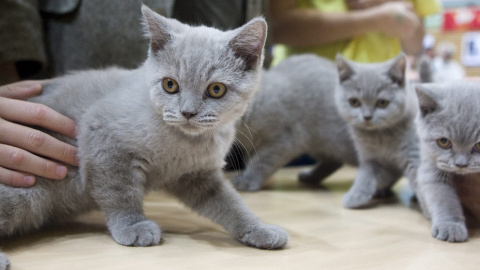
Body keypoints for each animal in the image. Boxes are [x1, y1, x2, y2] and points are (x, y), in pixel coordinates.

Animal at [0, 4, 288, 270]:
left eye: (216, 89)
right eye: (170, 85)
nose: (187, 112)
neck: (184, 143)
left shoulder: (198, 175)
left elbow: (230, 204)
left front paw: (259, 229)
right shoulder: (103, 138)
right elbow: (120, 192)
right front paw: (133, 226)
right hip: (25, 191)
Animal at [231, 53, 358, 191]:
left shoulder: (282, 141)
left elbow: (259, 162)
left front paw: (246, 180)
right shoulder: (251, 147)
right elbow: (251, 161)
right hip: (321, 144)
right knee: (334, 162)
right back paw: (309, 177)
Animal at [334, 53, 420, 209]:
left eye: (382, 103)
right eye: (354, 102)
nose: (367, 117)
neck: (380, 137)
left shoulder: (413, 152)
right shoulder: (370, 157)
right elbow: (365, 176)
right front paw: (356, 195)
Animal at [412, 82, 480, 243]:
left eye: (479, 145)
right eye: (443, 142)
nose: (461, 164)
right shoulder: (430, 168)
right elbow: (443, 197)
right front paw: (450, 226)